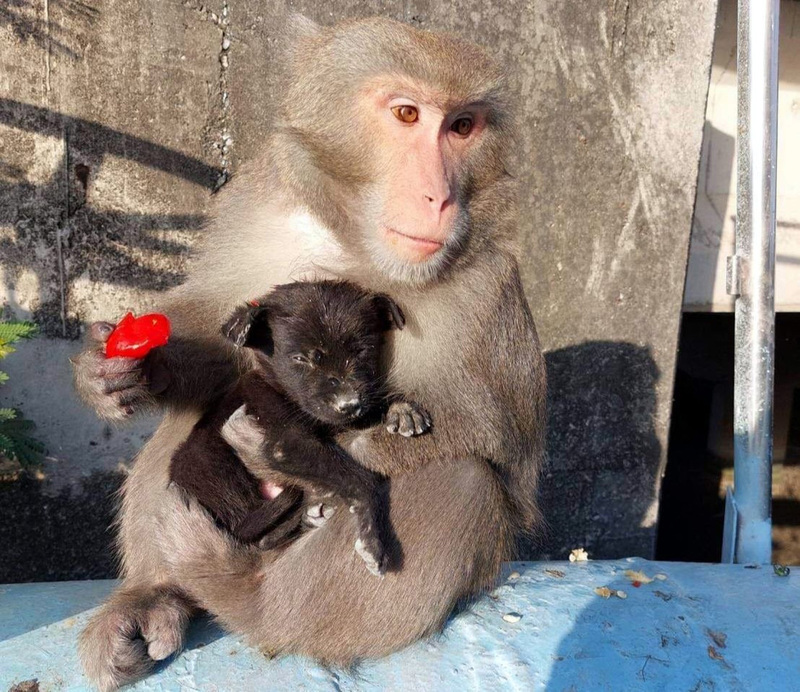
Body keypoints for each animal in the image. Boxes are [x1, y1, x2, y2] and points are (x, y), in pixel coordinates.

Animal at [170, 278, 432, 576]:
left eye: (362, 351)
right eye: (300, 359)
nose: (349, 403)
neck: (282, 391)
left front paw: (401, 408)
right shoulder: (285, 442)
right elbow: (362, 479)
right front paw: (371, 536)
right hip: (211, 465)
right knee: (253, 534)